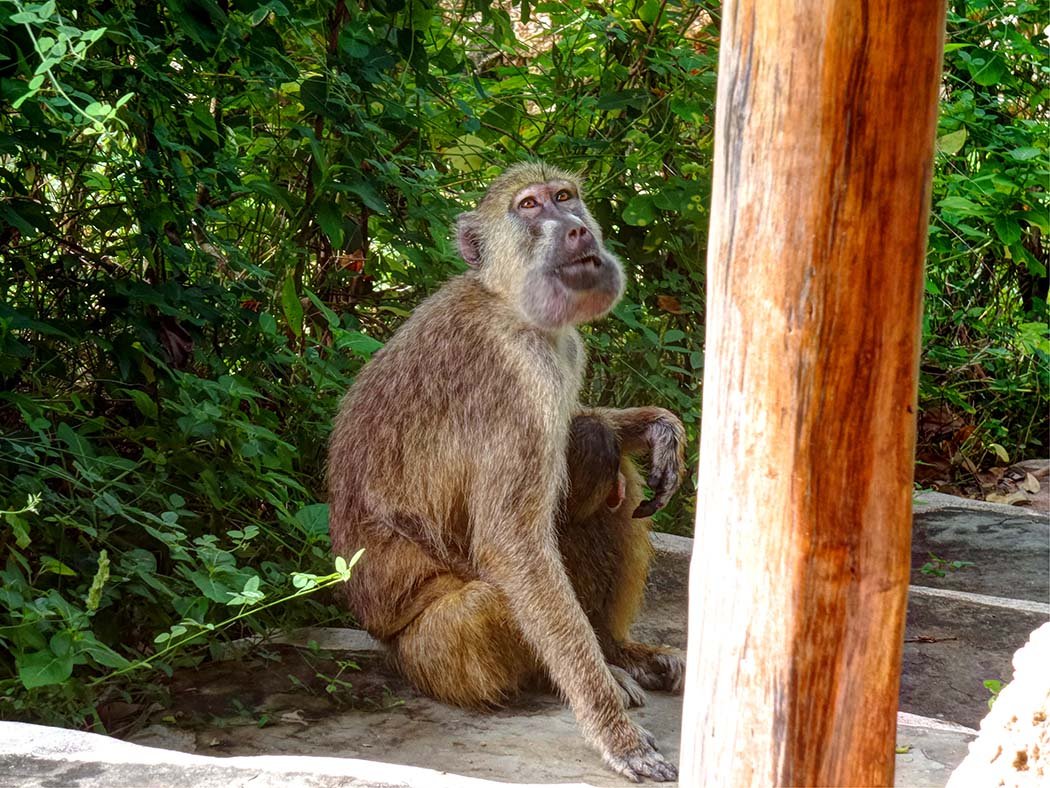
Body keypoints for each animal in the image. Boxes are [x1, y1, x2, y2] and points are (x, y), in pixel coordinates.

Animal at [327, 162, 686, 782]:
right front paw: (615, 734)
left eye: (565, 197)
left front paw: (656, 427)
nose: (576, 229)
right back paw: (575, 677)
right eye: (530, 206)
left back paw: (618, 651)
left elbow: (583, 430)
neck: (508, 302)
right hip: (426, 655)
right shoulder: (514, 379)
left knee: (610, 474)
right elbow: (512, 547)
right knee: (486, 606)